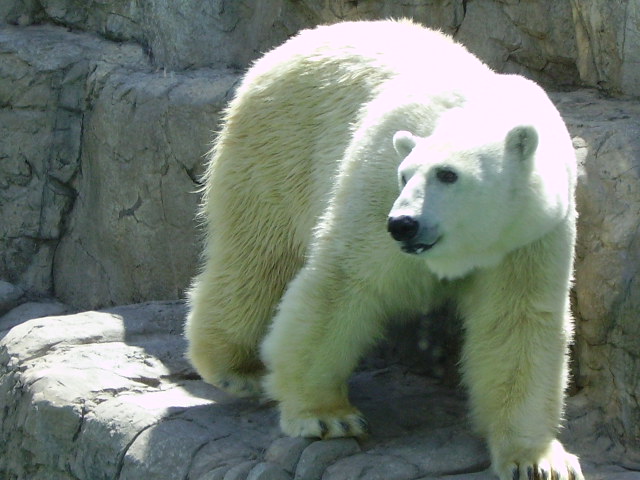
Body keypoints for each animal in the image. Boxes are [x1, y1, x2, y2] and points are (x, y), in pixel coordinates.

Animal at [185, 19, 584, 480]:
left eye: (448, 174)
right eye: (405, 174)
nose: (403, 224)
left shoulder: (529, 236)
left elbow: (517, 321)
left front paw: (537, 459)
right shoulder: (375, 189)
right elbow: (342, 283)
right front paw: (327, 416)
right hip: (279, 145)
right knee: (258, 255)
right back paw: (235, 367)